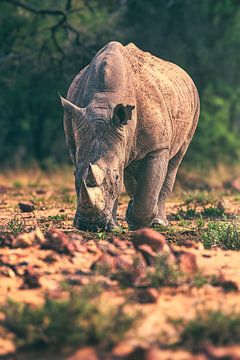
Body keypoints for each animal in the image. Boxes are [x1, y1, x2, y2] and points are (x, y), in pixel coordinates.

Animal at [61, 41, 200, 231]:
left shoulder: (157, 148)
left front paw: (139, 222)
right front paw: (116, 225)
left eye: (116, 178)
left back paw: (158, 222)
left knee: (175, 161)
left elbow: (147, 183)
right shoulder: (76, 143)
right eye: (74, 175)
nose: (91, 225)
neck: (104, 101)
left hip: (194, 104)